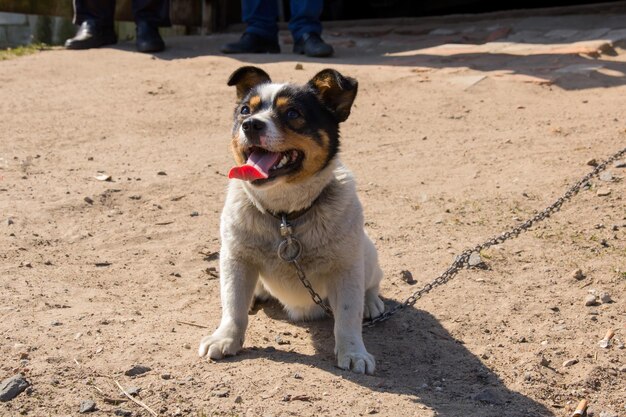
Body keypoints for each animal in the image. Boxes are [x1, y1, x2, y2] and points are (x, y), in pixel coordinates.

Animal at [197, 66, 382, 374]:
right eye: (245, 110)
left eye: (293, 113)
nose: (251, 125)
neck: (285, 217)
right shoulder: (236, 259)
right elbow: (233, 307)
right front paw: (226, 338)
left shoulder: (346, 269)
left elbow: (347, 317)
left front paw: (354, 352)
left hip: (367, 253)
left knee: (372, 284)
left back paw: (371, 303)